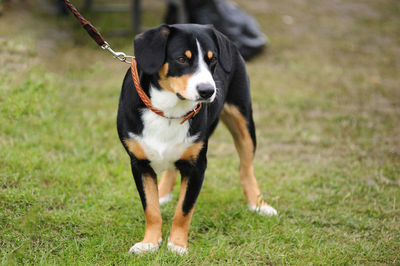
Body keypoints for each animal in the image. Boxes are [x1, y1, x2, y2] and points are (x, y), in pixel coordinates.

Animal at [117, 23, 276, 255]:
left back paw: (258, 204)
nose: (207, 90)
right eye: (182, 59)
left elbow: (184, 210)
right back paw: (162, 192)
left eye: (213, 59)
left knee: (246, 167)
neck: (168, 112)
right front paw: (149, 243)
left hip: (244, 120)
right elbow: (151, 208)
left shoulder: (197, 166)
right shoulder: (139, 164)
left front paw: (177, 245)